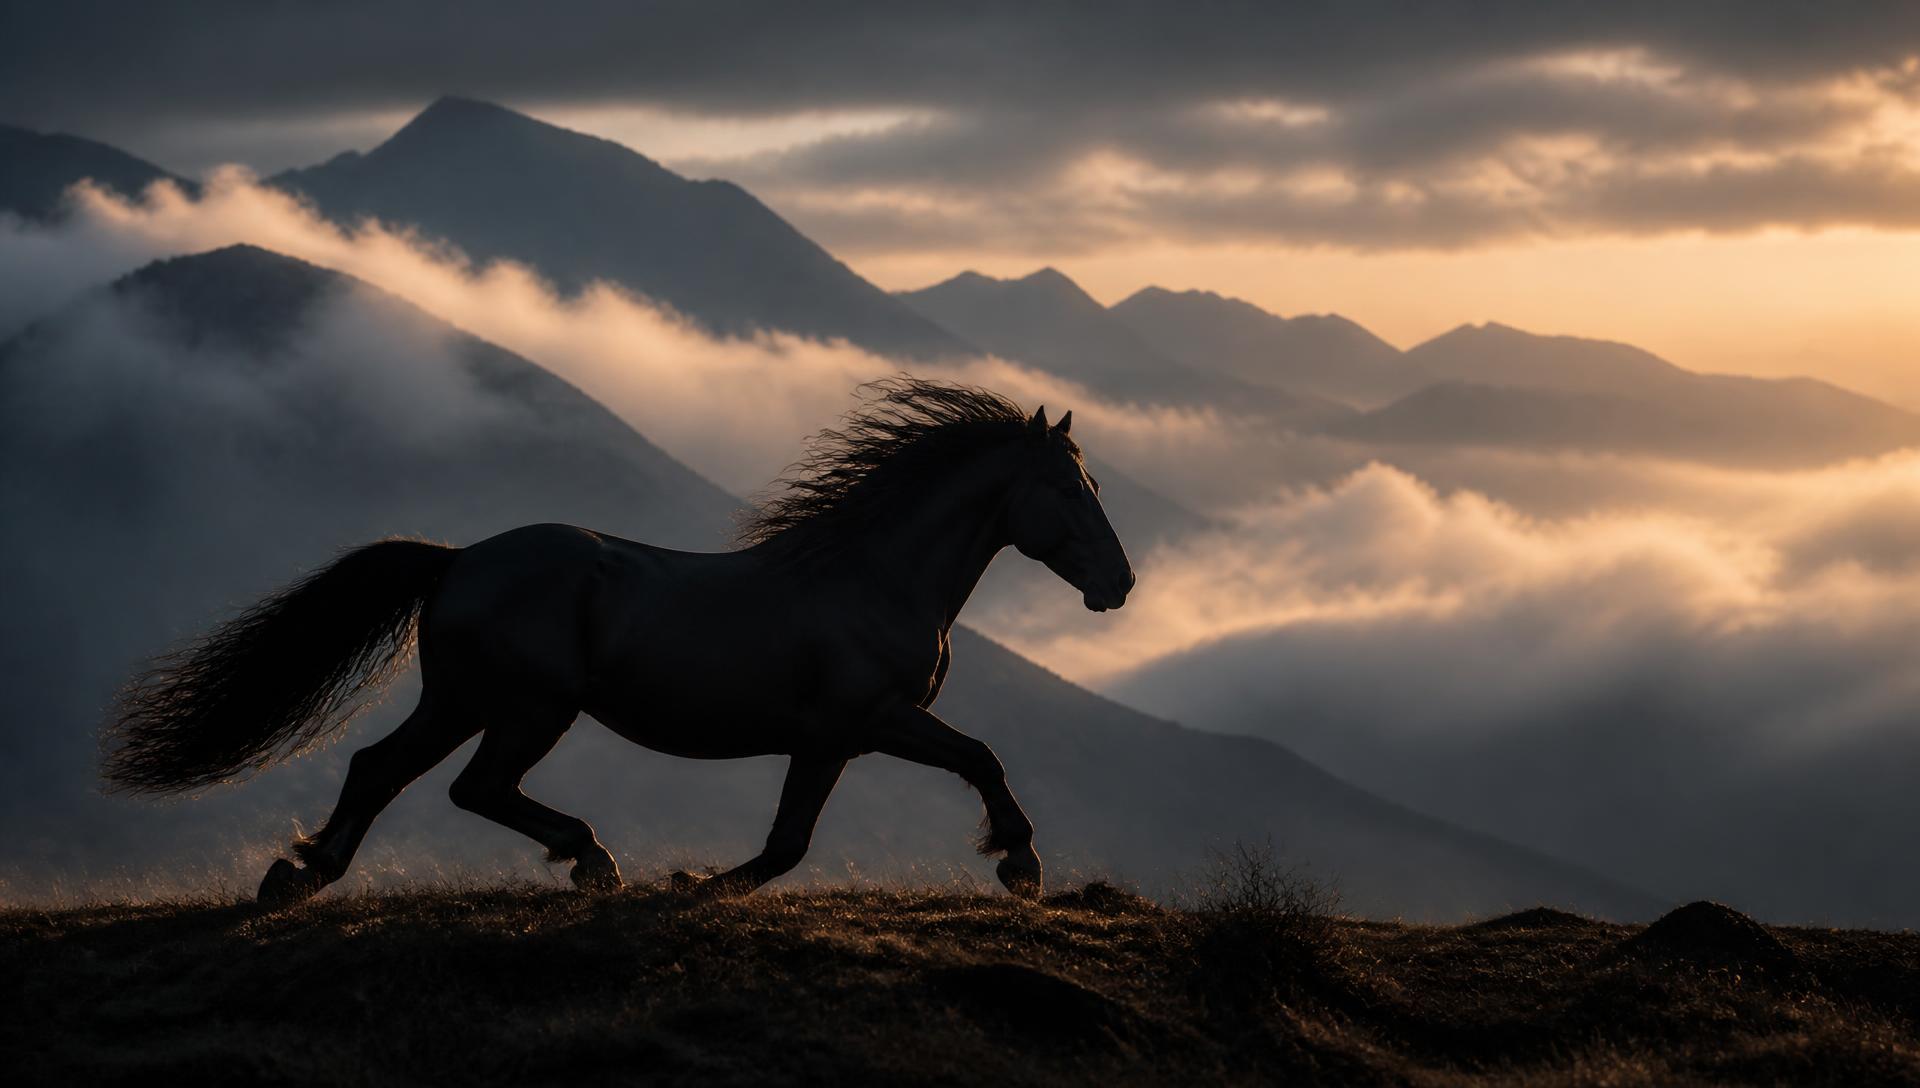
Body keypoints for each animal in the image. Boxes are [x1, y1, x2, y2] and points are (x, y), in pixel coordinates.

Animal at [100, 379, 1135, 906]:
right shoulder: (864, 722)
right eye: (1071, 489)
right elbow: (970, 763)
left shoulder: (835, 738)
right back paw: (590, 859)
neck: (873, 577)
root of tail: (456, 560)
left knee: (379, 768)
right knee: (472, 787)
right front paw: (1019, 862)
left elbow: (793, 840)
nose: (1119, 585)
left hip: (463, 699)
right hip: (529, 707)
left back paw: (302, 873)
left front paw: (700, 877)